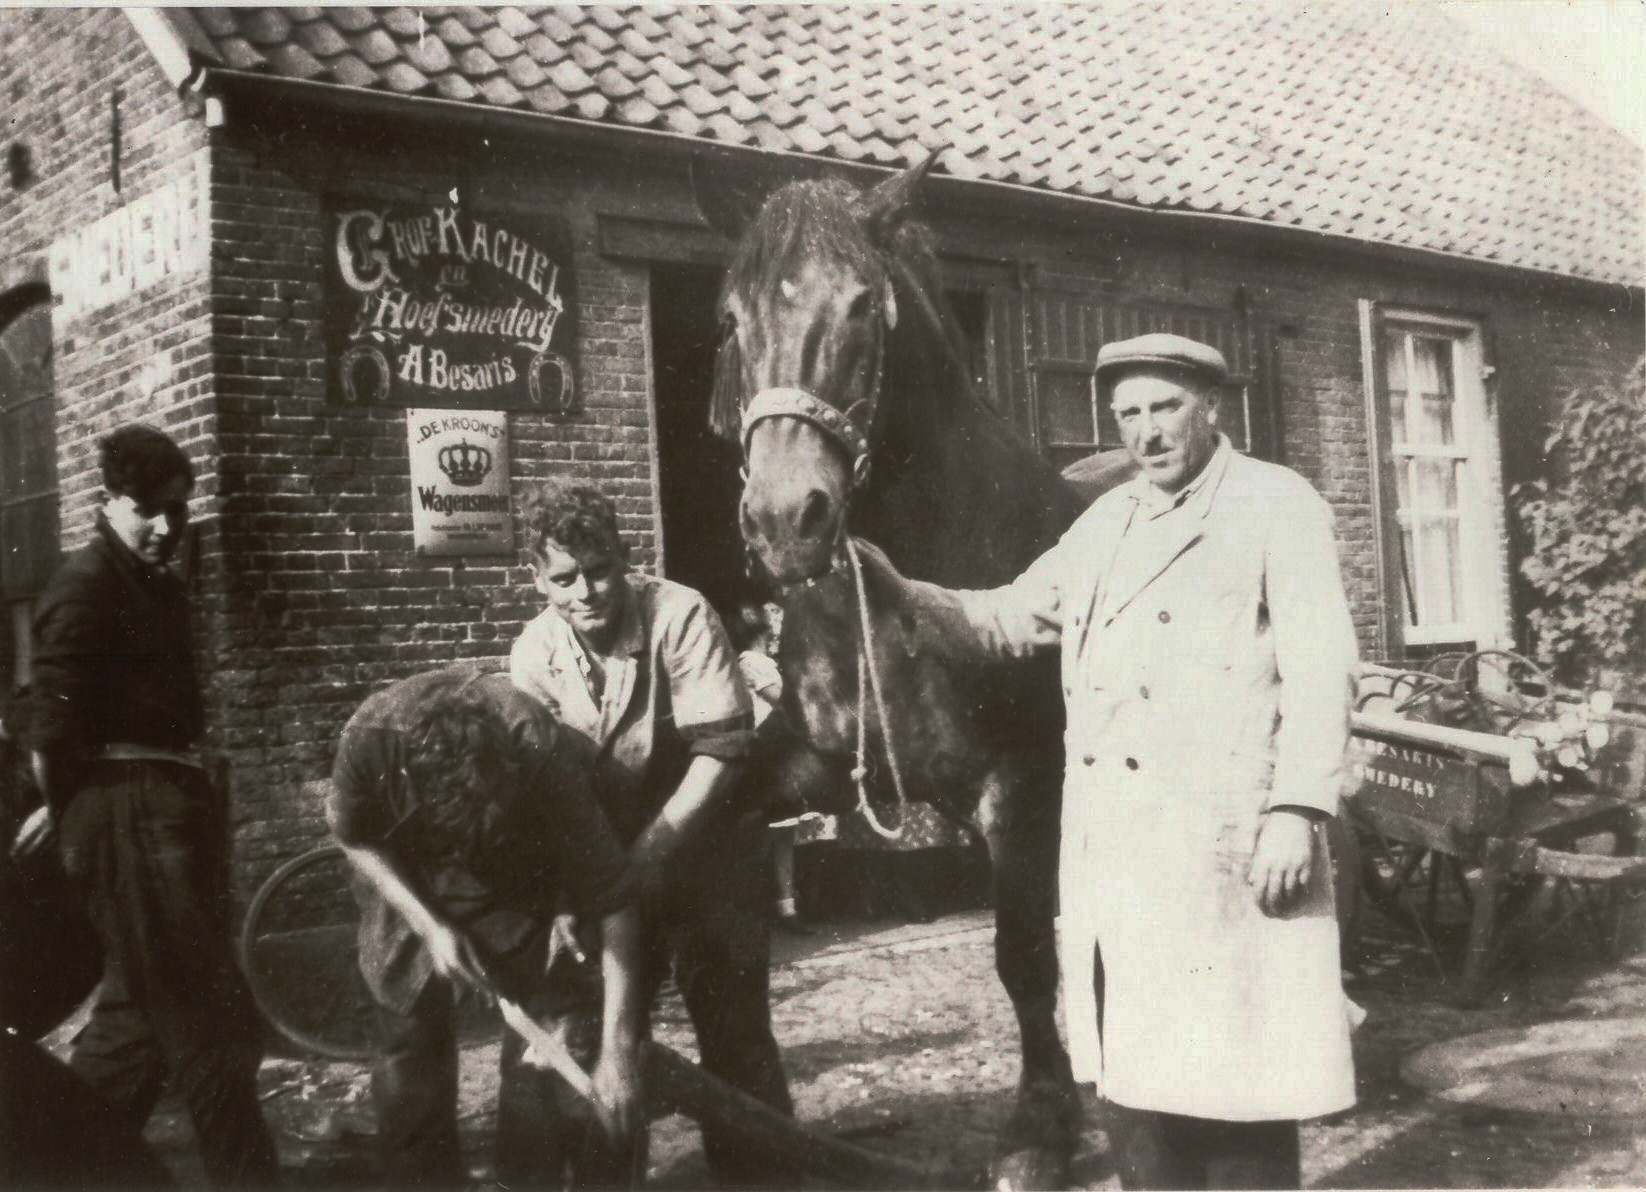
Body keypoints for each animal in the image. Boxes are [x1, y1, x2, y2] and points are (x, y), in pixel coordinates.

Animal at [701, 153, 1125, 1185]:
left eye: (863, 307)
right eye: (731, 318)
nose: (785, 521)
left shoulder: (1022, 786)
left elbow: (1024, 956)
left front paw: (1038, 1131)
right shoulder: (800, 769)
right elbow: (729, 924)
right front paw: (751, 1112)